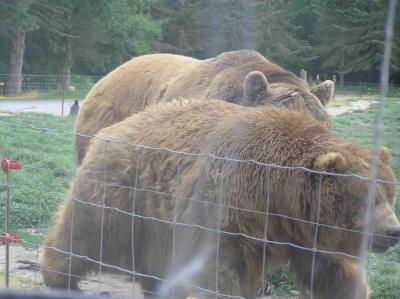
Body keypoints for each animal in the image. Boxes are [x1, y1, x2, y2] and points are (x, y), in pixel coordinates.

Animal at [41, 99, 400, 298]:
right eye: (368, 200)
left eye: (390, 193)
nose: (393, 232)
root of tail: (114, 127)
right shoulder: (232, 206)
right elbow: (223, 269)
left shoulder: (308, 236)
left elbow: (335, 273)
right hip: (121, 190)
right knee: (84, 232)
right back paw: (60, 278)